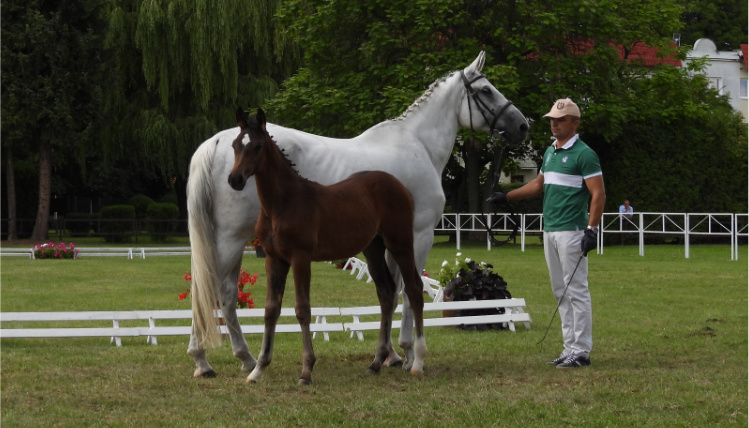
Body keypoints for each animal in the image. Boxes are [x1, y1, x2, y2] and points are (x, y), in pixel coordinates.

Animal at [187, 51, 524, 380]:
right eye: (486, 90)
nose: (522, 125)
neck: (417, 144)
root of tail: (214, 142)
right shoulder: (419, 234)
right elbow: (406, 289)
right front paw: (408, 352)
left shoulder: (383, 242)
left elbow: (389, 290)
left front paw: (390, 355)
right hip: (231, 239)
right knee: (215, 290)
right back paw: (208, 359)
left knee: (220, 293)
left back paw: (238, 358)